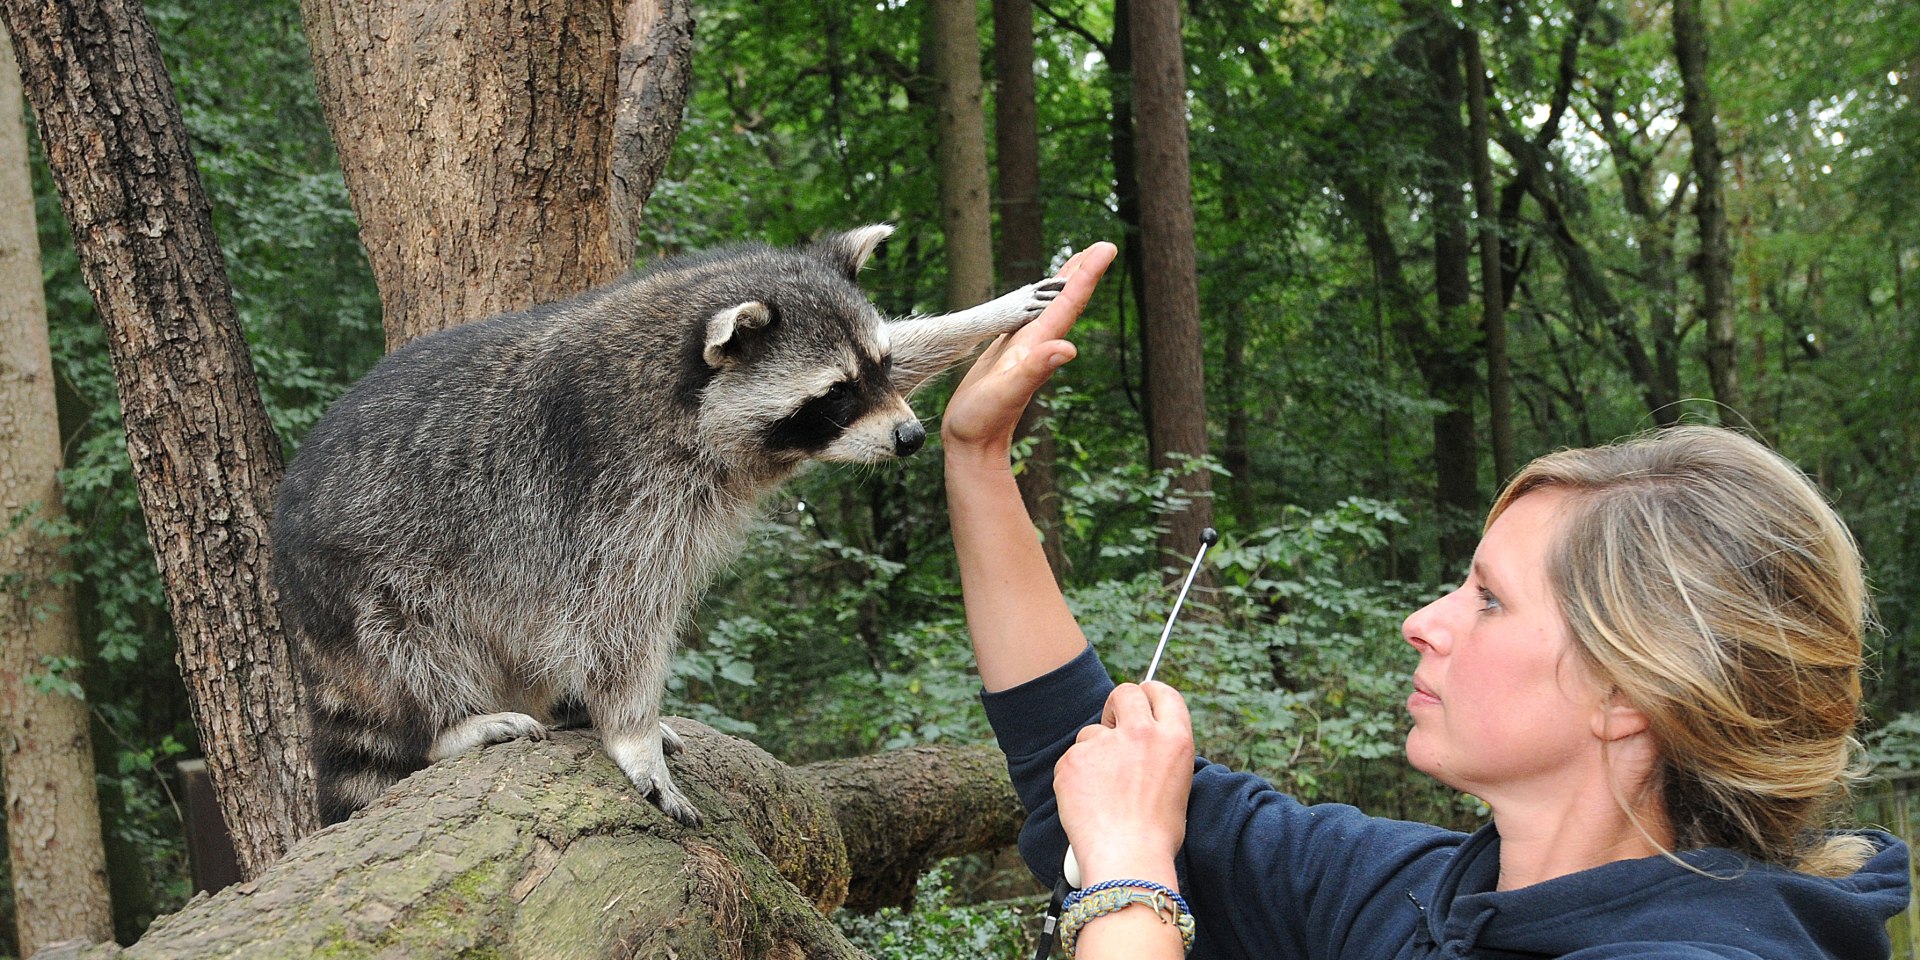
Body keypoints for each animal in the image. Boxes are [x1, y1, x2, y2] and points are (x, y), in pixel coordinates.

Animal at [268, 224, 1059, 825]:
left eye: (881, 368)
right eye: (834, 396)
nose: (910, 437)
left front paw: (986, 314)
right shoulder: (610, 491)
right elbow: (615, 615)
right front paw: (631, 736)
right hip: (366, 585)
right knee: (411, 653)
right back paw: (446, 726)